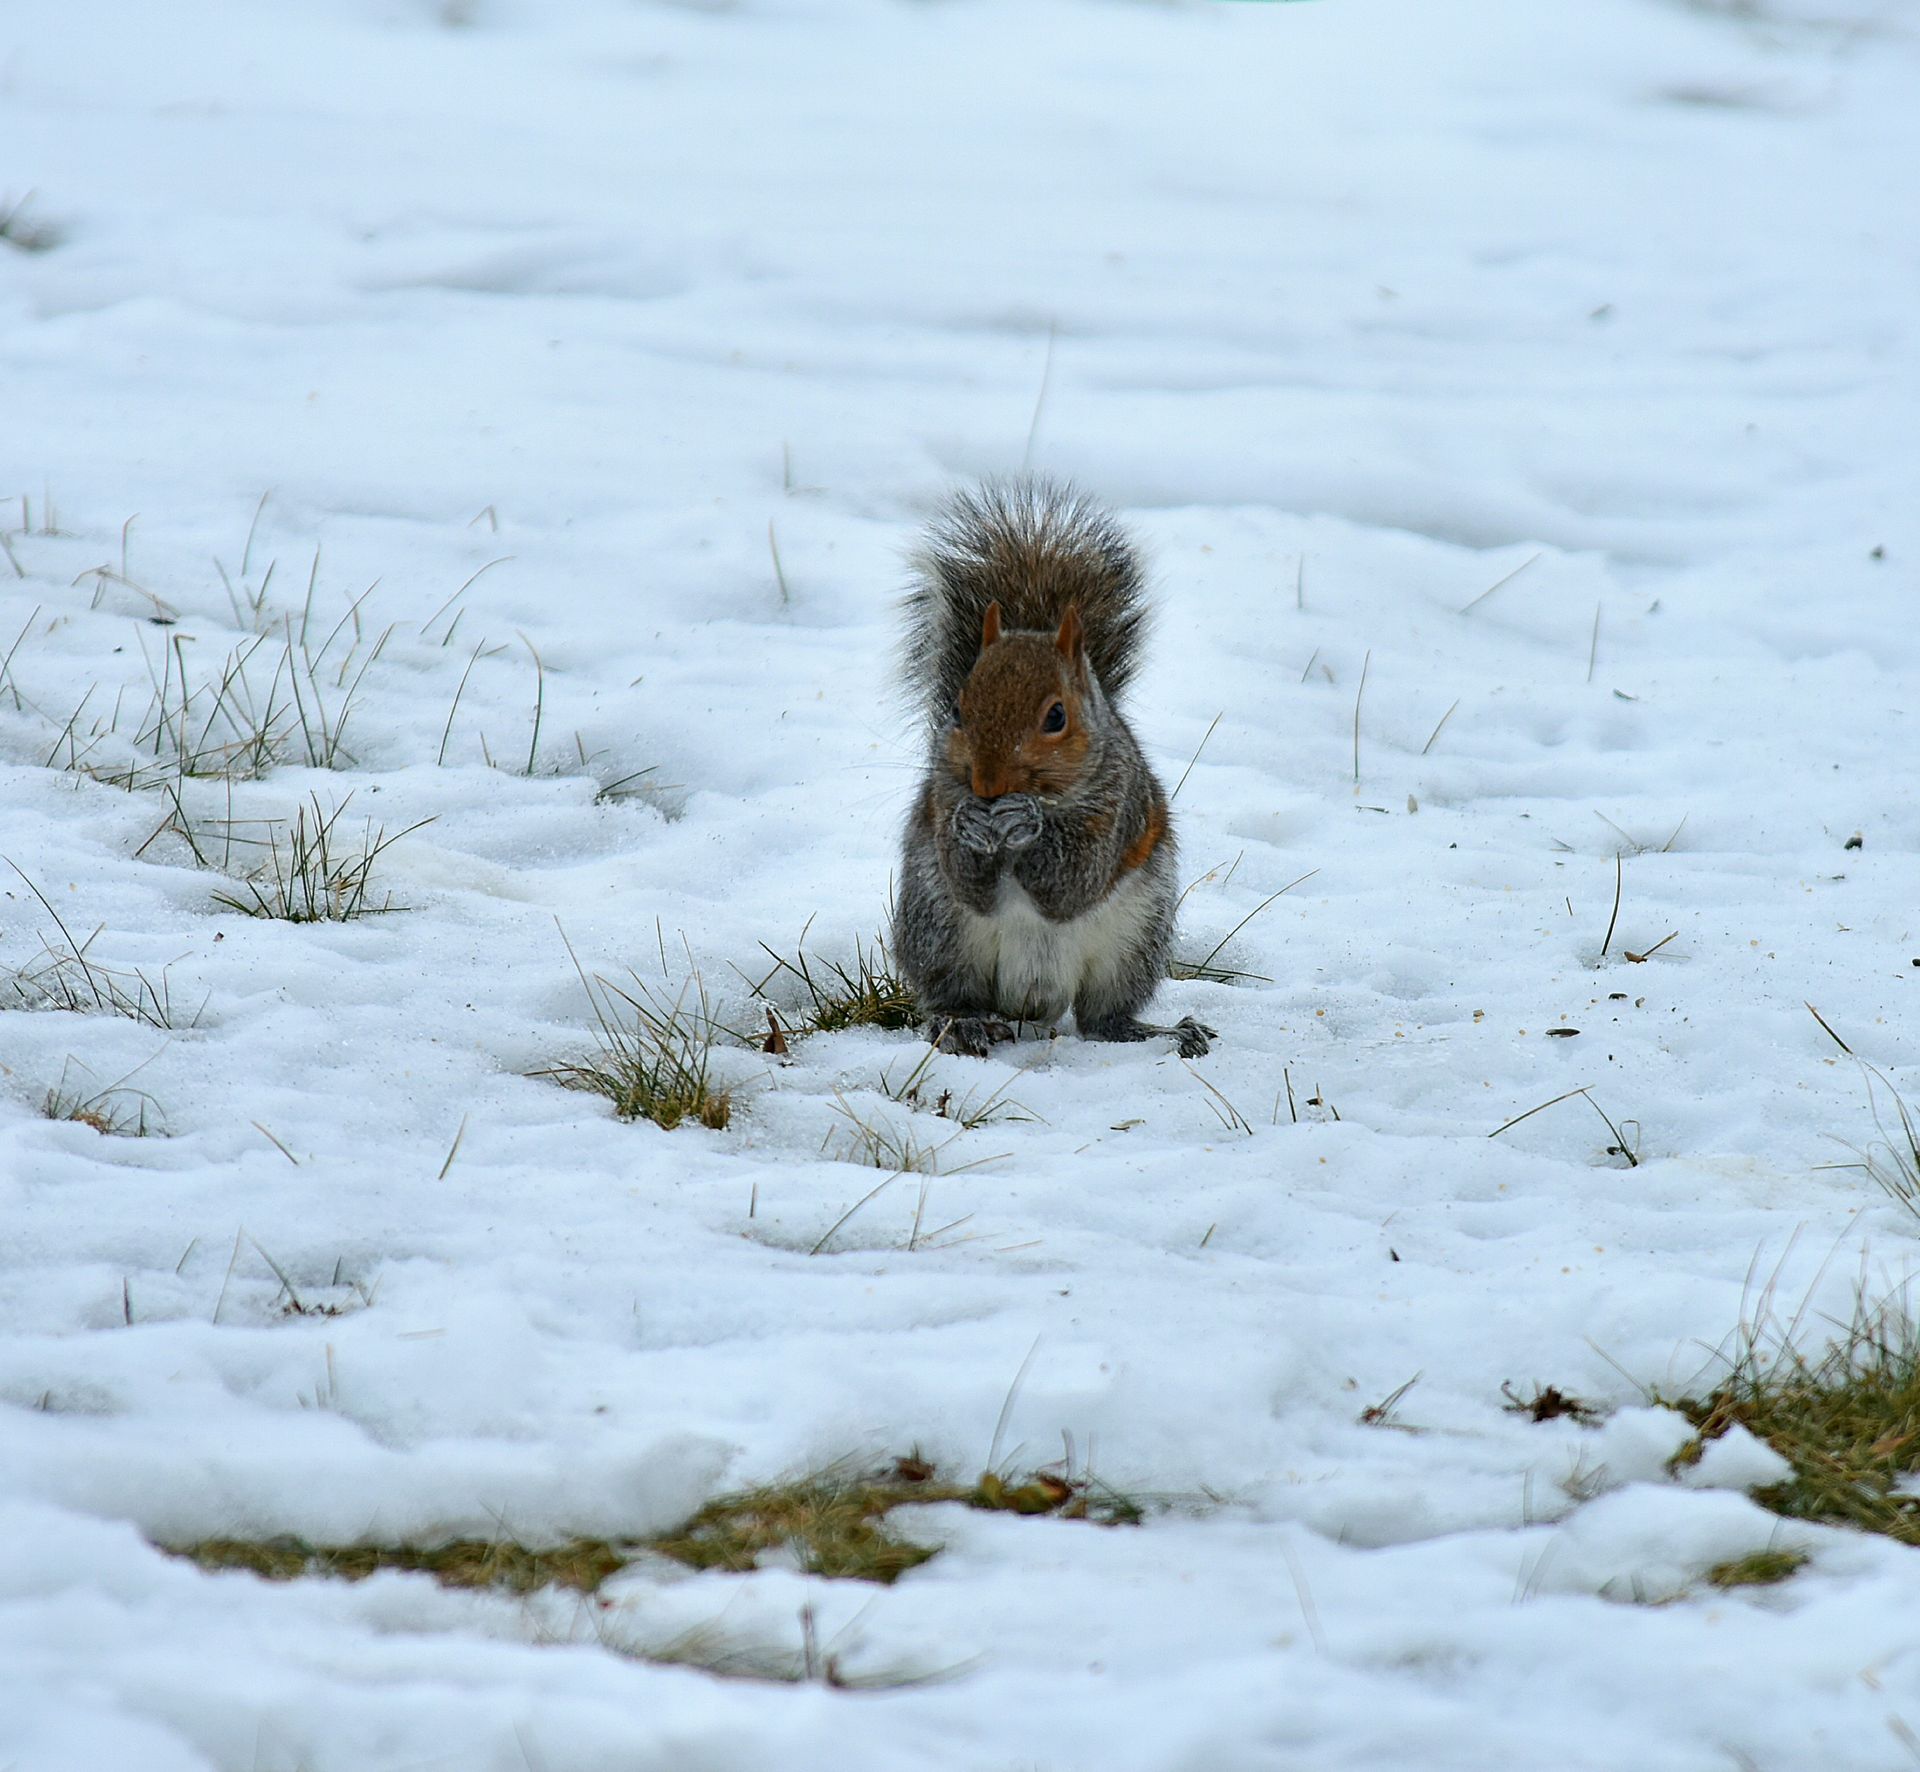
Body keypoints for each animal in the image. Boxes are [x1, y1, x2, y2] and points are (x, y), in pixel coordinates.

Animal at [892, 476, 1214, 1060]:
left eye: (1056, 717)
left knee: (1101, 1018)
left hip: (1134, 941)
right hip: (939, 930)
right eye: (957, 710)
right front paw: (971, 825)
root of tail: (1032, 1003)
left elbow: (1072, 884)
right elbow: (968, 880)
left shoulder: (1119, 809)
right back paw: (963, 1023)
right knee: (955, 994)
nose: (987, 786)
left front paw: (1027, 822)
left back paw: (1158, 1032)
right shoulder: (943, 798)